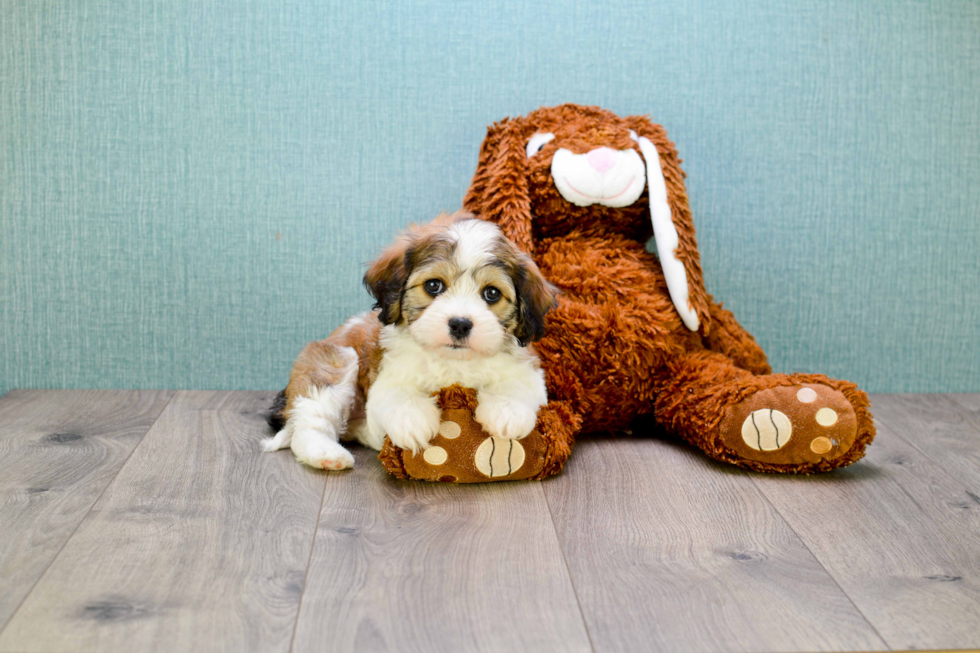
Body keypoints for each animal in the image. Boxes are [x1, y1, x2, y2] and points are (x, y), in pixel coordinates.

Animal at [262, 211, 560, 472]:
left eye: (492, 293)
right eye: (433, 286)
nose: (460, 323)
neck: (454, 362)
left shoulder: (528, 370)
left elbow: (517, 385)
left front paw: (507, 412)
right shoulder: (386, 375)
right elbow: (398, 393)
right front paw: (413, 420)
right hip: (334, 360)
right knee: (309, 425)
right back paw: (327, 454)